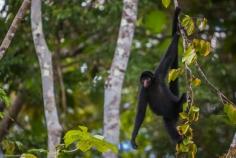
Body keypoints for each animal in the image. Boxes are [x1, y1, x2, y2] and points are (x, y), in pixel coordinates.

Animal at [130, 6, 185, 149]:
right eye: (143, 80)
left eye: (147, 78)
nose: (145, 82)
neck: (152, 85)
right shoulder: (143, 91)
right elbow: (141, 113)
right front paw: (133, 138)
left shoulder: (159, 74)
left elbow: (169, 56)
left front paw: (176, 35)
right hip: (170, 116)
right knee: (167, 122)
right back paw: (178, 139)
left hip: (176, 107)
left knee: (182, 99)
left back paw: (183, 100)